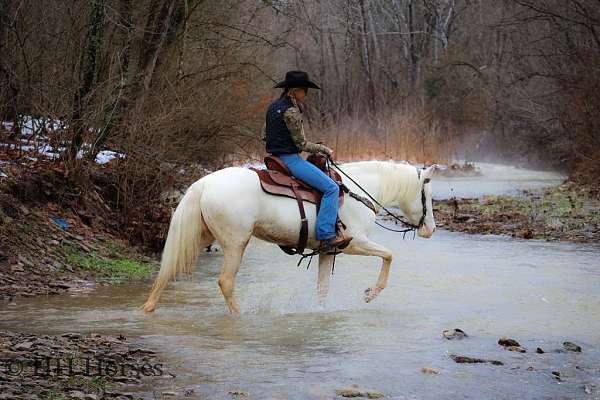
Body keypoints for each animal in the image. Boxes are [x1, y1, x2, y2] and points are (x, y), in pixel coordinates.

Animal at [144, 160, 438, 316]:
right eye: (427, 195)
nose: (431, 230)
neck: (358, 192)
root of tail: (204, 183)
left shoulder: (327, 252)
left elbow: (322, 288)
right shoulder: (355, 243)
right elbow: (389, 255)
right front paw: (370, 294)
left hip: (201, 237)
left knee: (168, 270)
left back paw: (148, 308)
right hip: (235, 242)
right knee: (225, 281)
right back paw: (239, 316)